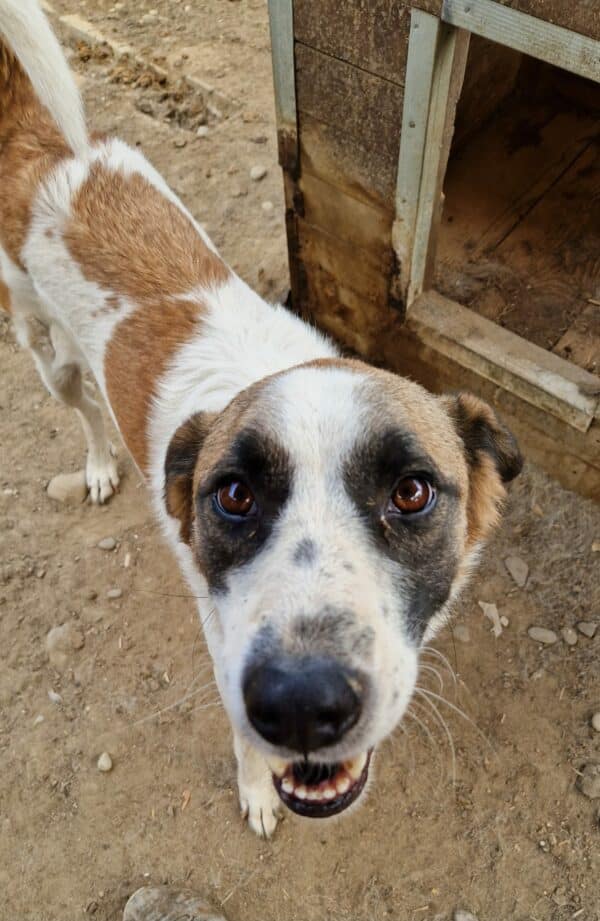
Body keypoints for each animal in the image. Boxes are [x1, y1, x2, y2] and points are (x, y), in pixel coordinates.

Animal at [0, 0, 524, 836]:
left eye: (412, 490)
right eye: (234, 494)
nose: (302, 706)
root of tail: (47, 152)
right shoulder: (224, 648)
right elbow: (243, 740)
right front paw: (255, 788)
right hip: (48, 356)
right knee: (82, 408)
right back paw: (100, 463)